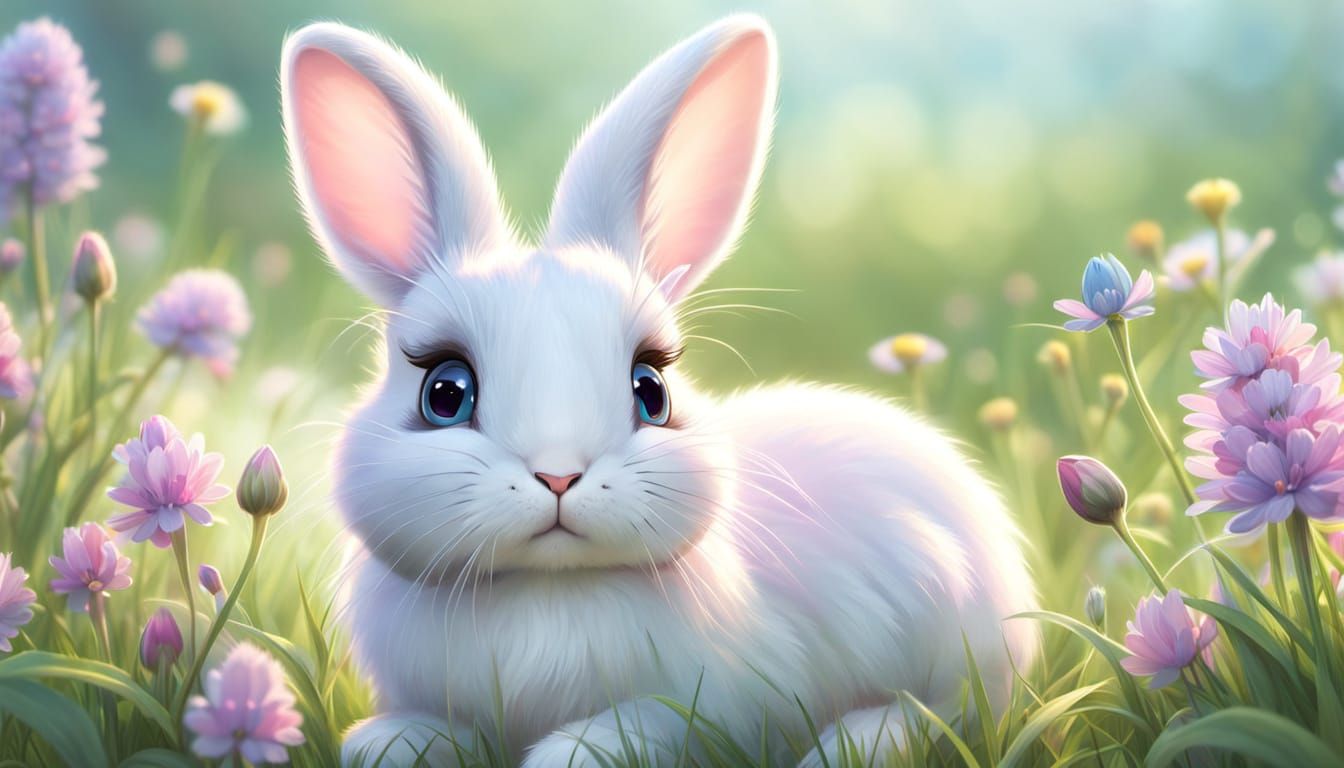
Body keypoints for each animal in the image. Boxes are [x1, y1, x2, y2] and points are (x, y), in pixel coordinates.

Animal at [280, 14, 1038, 768]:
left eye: (652, 391)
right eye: (444, 393)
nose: (559, 476)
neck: (549, 588)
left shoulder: (719, 708)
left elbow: (643, 728)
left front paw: (566, 754)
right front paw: (383, 742)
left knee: (943, 711)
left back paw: (855, 742)